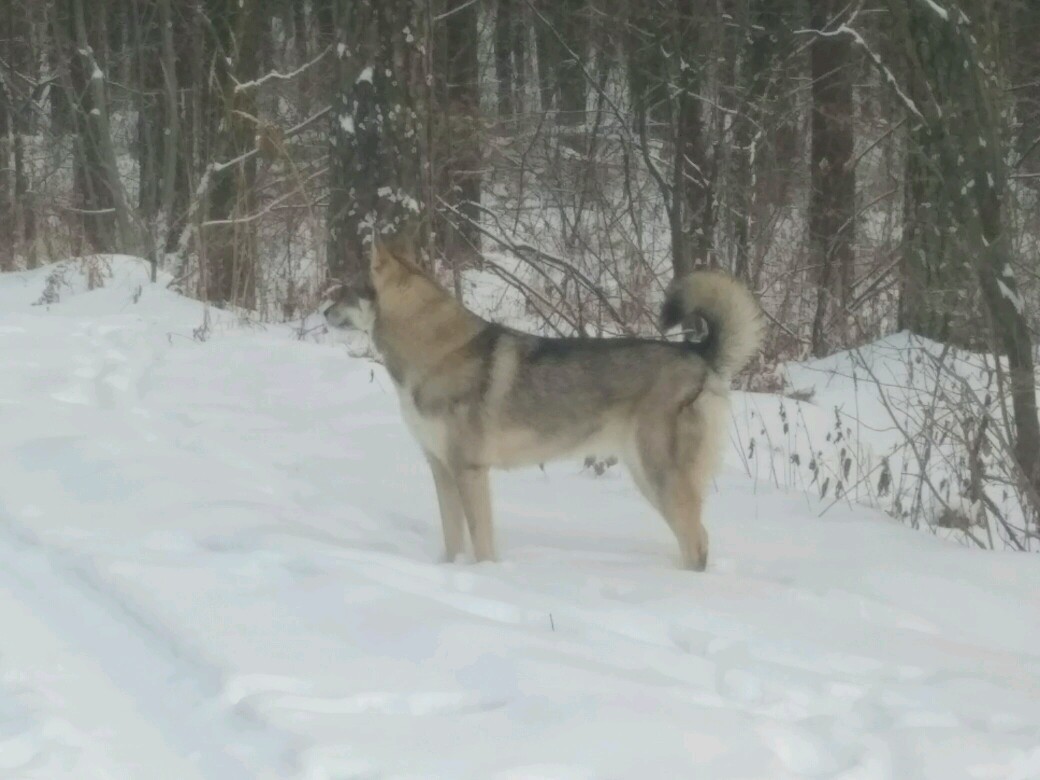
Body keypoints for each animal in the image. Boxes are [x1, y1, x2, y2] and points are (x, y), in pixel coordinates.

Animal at [324, 240, 765, 574]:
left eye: (347, 288)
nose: (324, 311)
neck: (434, 353)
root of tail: (700, 354)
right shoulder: (441, 467)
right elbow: (453, 541)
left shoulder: (469, 471)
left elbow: (482, 544)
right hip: (648, 478)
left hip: (662, 479)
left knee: (698, 542)